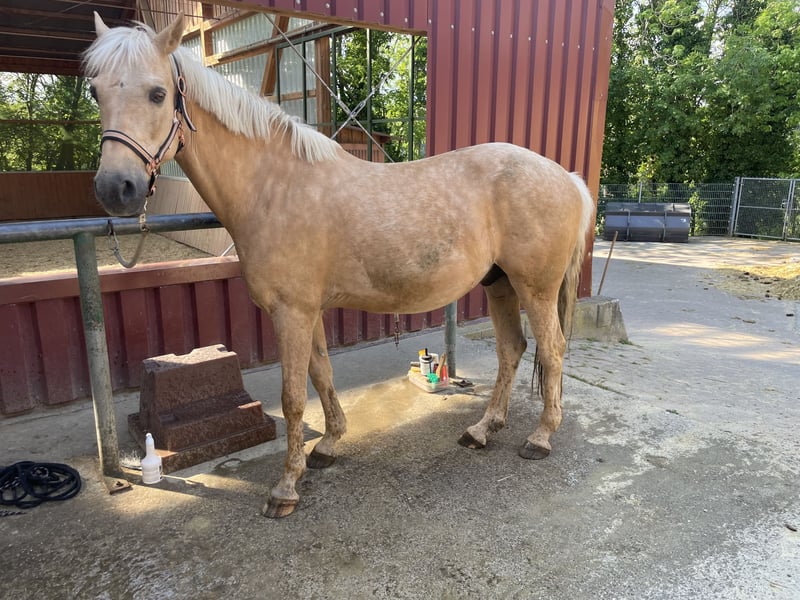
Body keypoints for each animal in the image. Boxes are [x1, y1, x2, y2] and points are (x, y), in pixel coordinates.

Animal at [84, 13, 594, 518]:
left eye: (158, 93)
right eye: (95, 91)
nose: (116, 189)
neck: (274, 186)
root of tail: (567, 177)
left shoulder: (291, 312)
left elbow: (292, 398)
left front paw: (285, 488)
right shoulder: (307, 311)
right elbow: (321, 375)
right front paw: (327, 447)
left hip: (535, 288)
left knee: (552, 351)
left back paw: (540, 437)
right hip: (500, 284)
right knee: (512, 350)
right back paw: (482, 430)